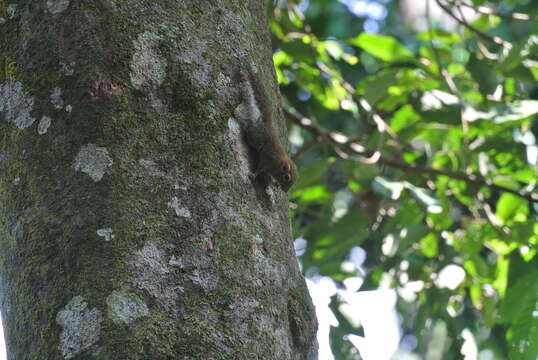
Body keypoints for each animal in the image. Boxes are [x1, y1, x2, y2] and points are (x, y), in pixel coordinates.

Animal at [232, 65, 296, 193]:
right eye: (286, 177)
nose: (285, 190)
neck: (278, 163)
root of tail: (267, 124)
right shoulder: (267, 160)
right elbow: (260, 169)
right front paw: (253, 175)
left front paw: (272, 183)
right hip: (256, 135)